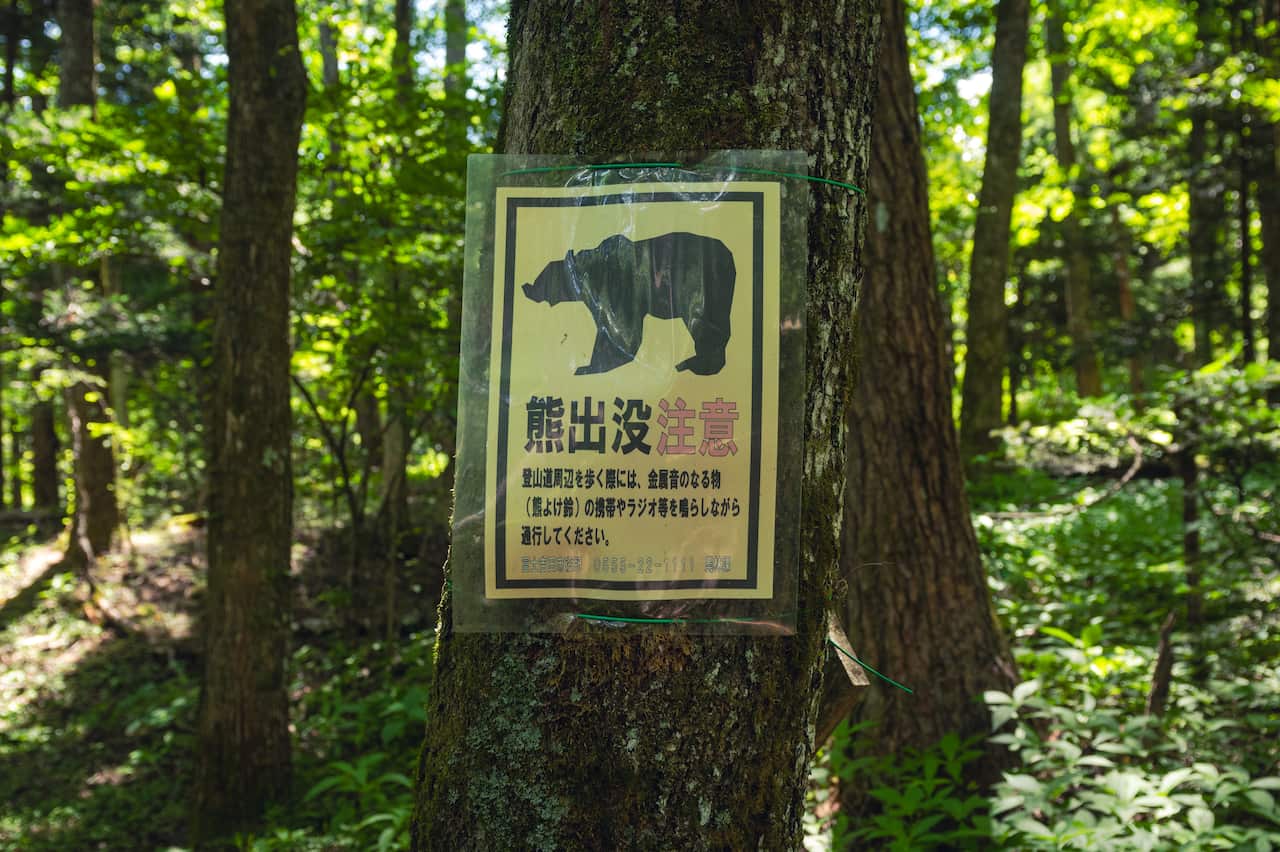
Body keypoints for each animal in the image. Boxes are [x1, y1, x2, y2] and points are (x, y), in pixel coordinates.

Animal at [521, 231, 737, 376]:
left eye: (538, 279)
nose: (525, 286)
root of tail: (729, 254)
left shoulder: (613, 286)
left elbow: (622, 332)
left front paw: (587, 367)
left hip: (698, 279)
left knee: (704, 322)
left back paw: (691, 364)